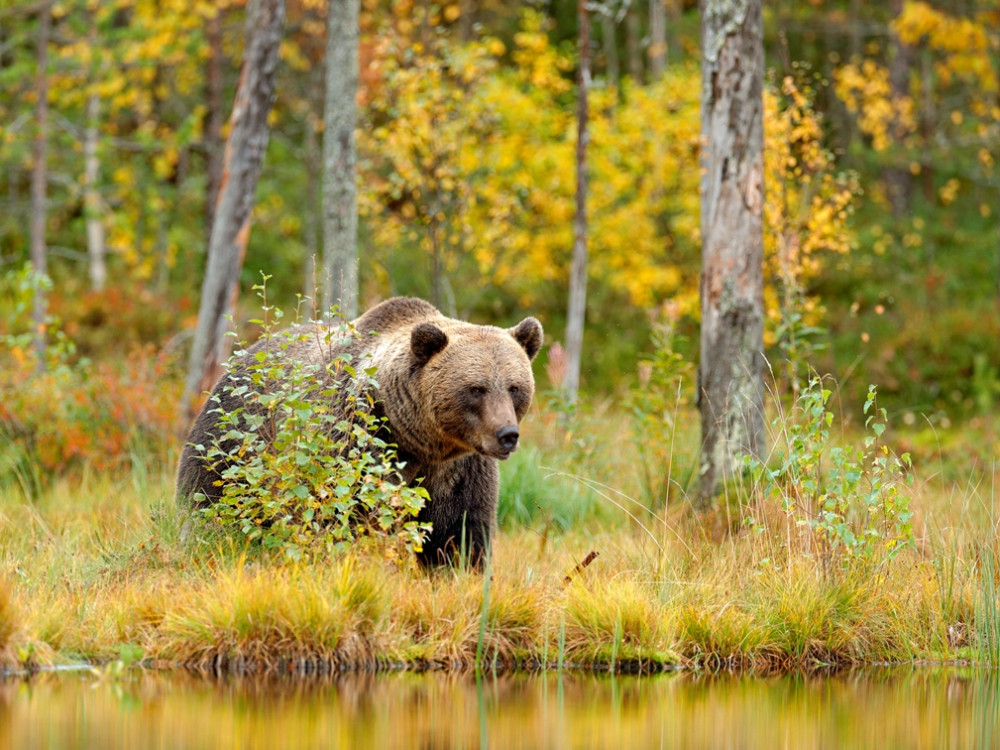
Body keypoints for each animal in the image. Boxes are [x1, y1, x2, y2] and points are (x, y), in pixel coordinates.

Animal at [176, 296, 544, 568]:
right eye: (476, 388)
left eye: (514, 387)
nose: (507, 434)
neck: (418, 440)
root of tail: (244, 355)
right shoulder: (356, 442)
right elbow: (341, 516)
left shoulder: (459, 470)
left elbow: (459, 533)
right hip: (233, 437)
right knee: (209, 497)